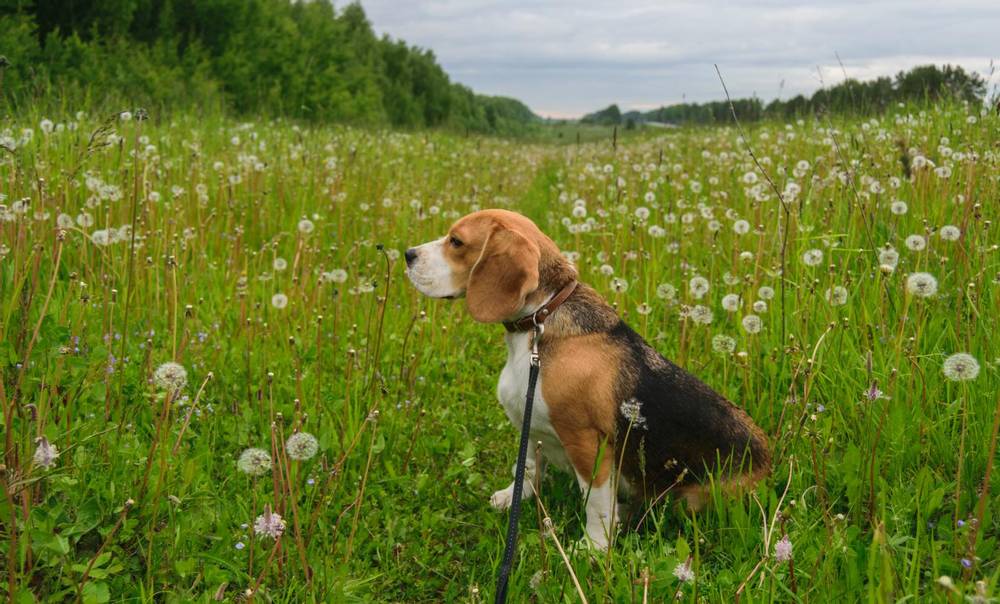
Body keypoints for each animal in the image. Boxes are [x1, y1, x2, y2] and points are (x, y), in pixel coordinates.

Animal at [402, 210, 768, 548]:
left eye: (456, 242)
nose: (407, 253)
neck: (541, 320)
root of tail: (770, 463)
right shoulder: (528, 424)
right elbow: (527, 469)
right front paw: (512, 498)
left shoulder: (586, 443)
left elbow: (596, 502)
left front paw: (593, 548)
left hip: (693, 497)